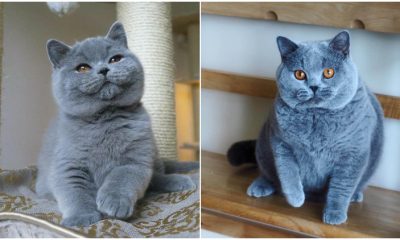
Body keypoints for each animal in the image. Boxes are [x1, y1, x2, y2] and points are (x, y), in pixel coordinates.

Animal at [35, 22, 198, 227]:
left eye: (115, 59)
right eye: (82, 68)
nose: (104, 69)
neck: (105, 118)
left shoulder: (134, 160)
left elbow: (120, 178)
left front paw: (114, 202)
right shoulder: (67, 166)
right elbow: (75, 193)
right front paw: (81, 218)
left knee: (155, 176)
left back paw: (179, 180)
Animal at [227, 31, 382, 225]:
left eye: (328, 72)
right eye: (299, 74)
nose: (314, 86)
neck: (316, 117)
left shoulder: (353, 154)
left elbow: (341, 187)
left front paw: (335, 214)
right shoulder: (281, 143)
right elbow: (288, 172)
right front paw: (296, 198)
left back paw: (355, 196)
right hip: (263, 144)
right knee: (268, 172)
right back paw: (260, 186)